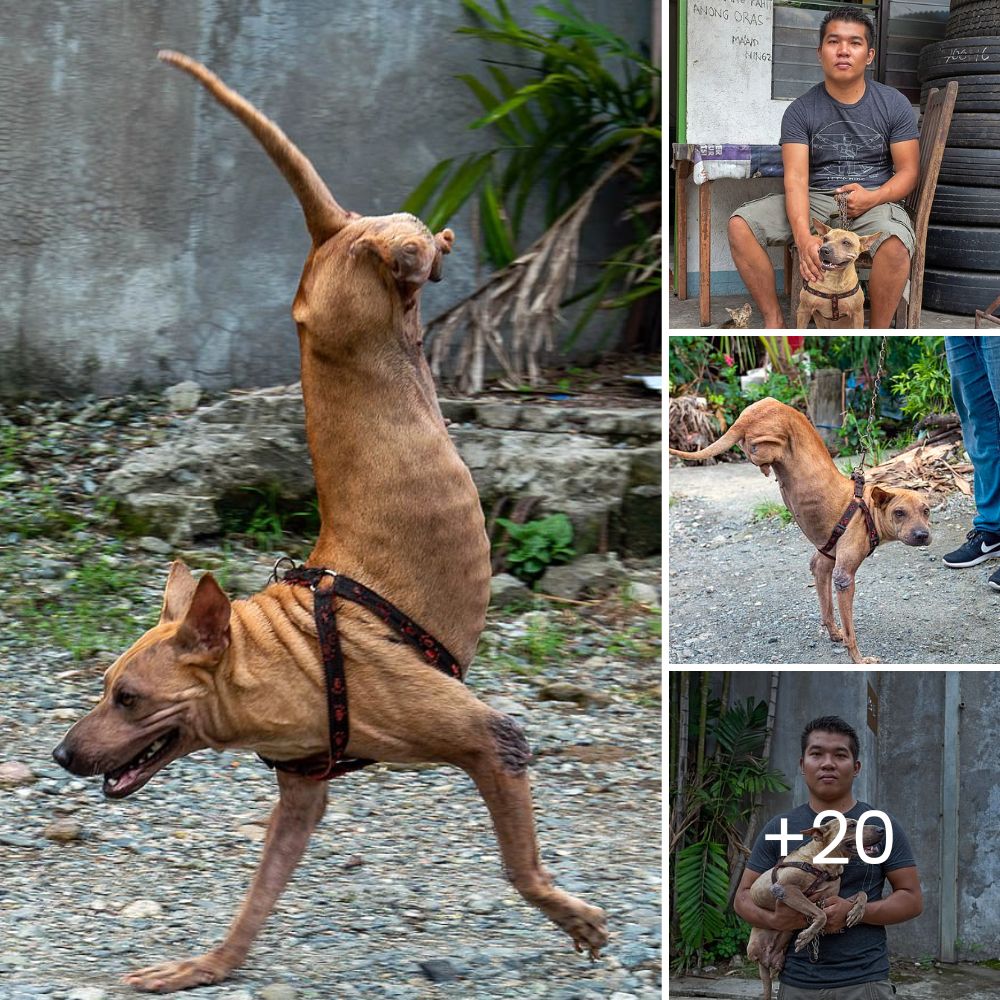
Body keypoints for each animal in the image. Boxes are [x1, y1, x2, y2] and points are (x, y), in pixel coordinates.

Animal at [52, 52, 608, 992]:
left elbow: (518, 864)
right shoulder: (301, 797)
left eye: (128, 699)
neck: (288, 661)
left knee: (407, 241)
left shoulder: (492, 738)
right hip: (346, 297)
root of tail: (331, 233)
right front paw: (205, 966)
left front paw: (571, 914)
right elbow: (255, 902)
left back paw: (433, 246)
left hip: (376, 267)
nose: (60, 756)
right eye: (102, 688)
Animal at [672, 398, 928, 664]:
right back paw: (765, 466)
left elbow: (827, 609)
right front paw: (858, 658)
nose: (923, 535)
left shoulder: (823, 563)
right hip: (774, 441)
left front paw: (834, 633)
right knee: (756, 451)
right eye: (899, 513)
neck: (867, 508)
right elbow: (851, 631)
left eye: (926, 511)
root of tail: (750, 415)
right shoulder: (844, 577)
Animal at [748, 820, 880, 1000]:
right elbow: (821, 914)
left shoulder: (830, 898)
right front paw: (806, 937)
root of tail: (765, 960)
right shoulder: (785, 889)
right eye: (852, 825)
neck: (825, 867)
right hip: (753, 946)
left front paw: (856, 912)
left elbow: (862, 893)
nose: (882, 829)